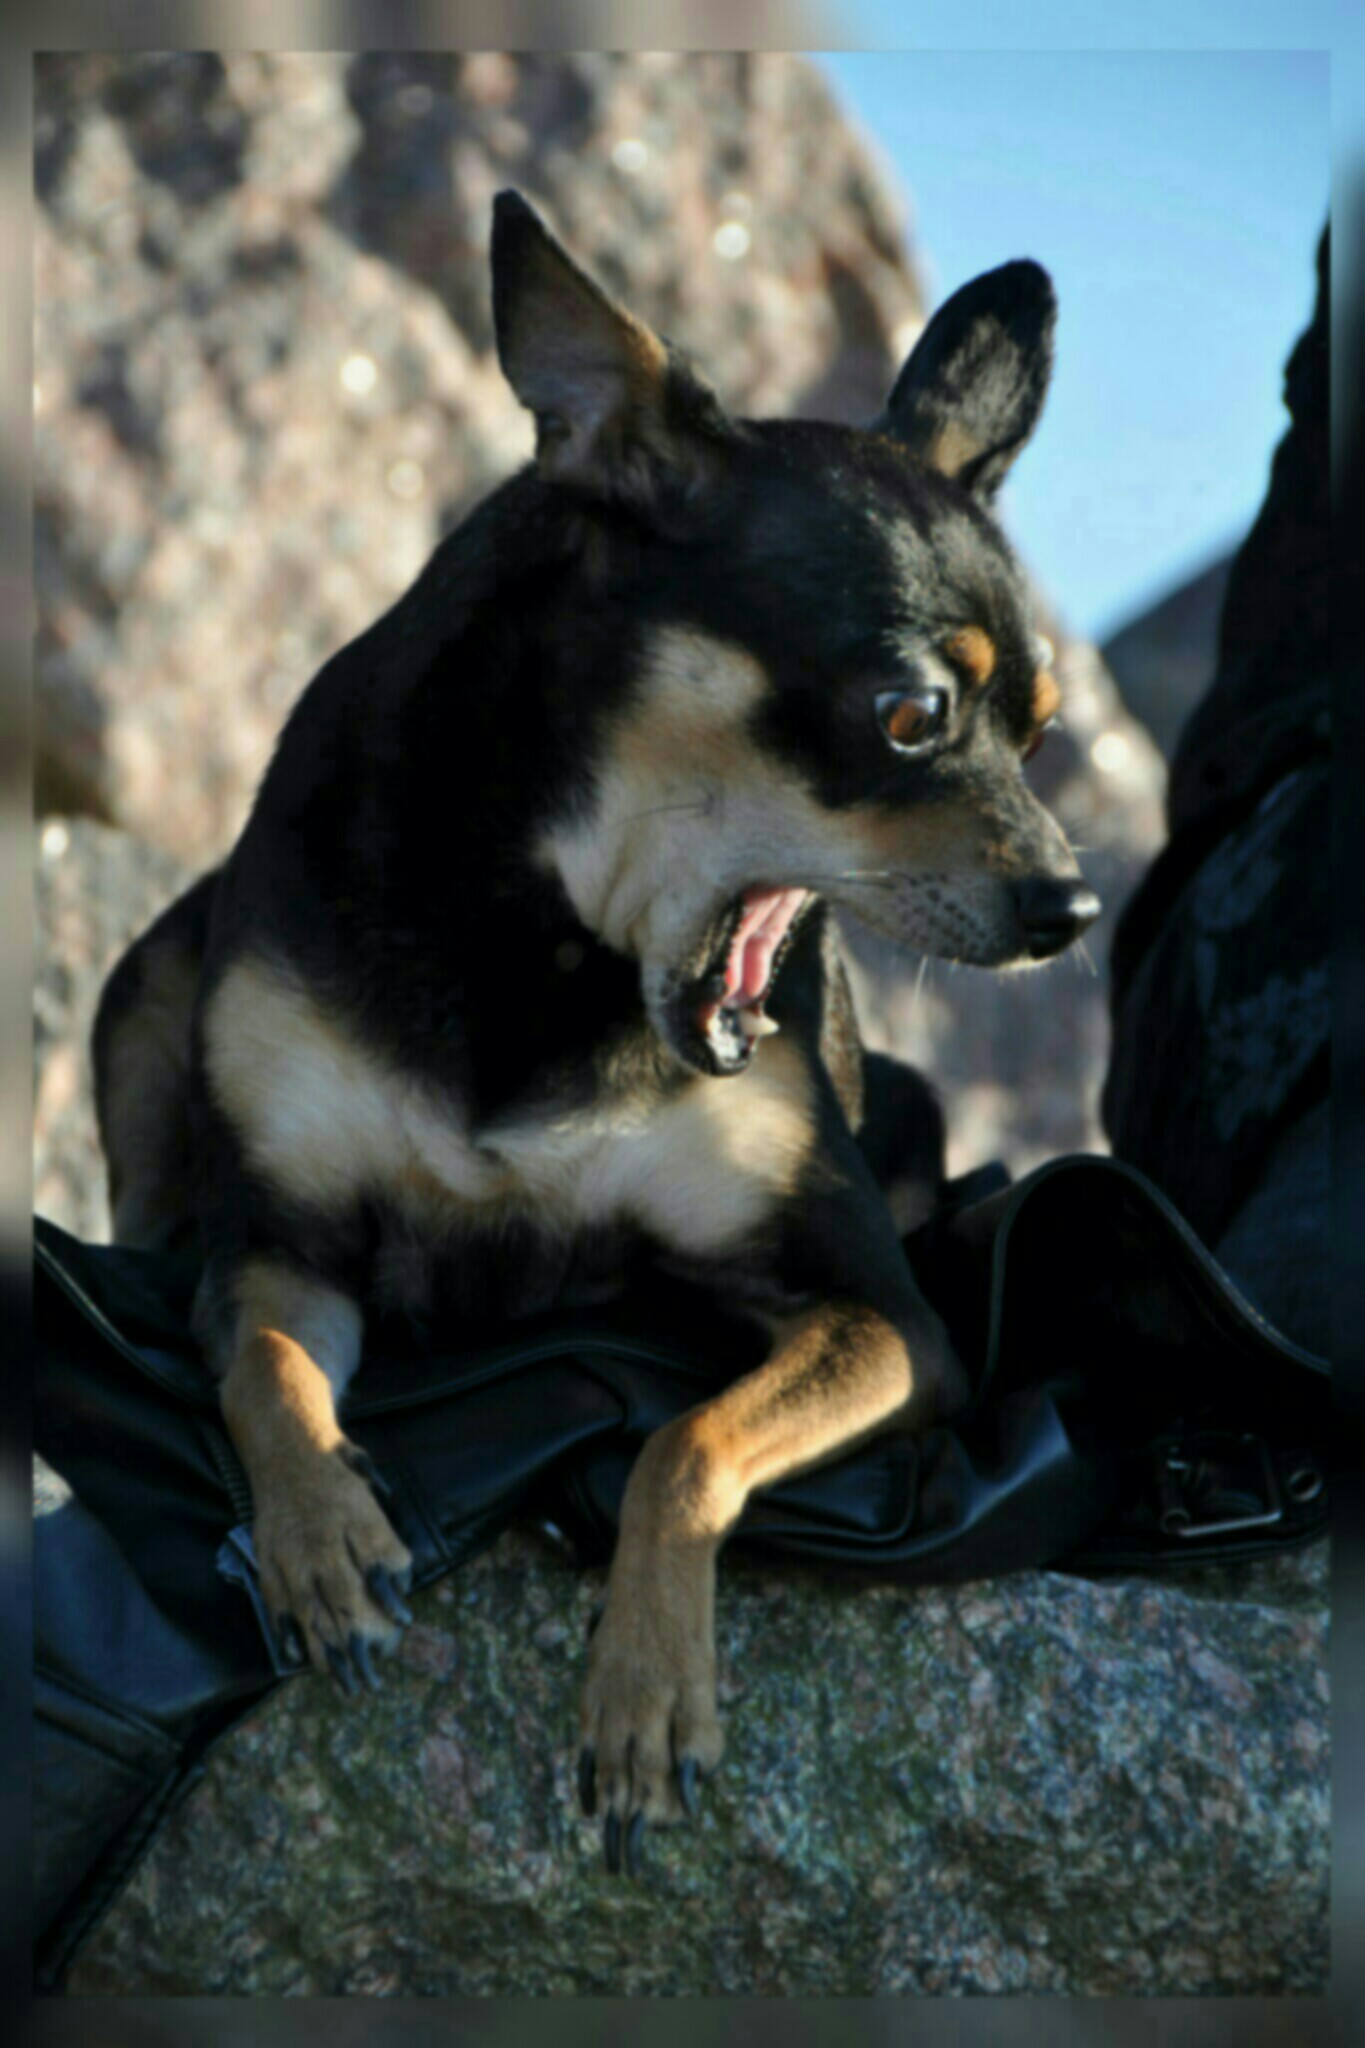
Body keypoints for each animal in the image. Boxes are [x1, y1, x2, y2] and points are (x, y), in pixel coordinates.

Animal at [92, 190, 1098, 1877]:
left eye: (1037, 733)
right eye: (909, 716)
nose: (1073, 906)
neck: (552, 942)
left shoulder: (883, 1317)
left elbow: (678, 1440)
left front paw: (643, 1692)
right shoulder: (286, 1248)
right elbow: (264, 1380)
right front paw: (318, 1540)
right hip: (147, 986)